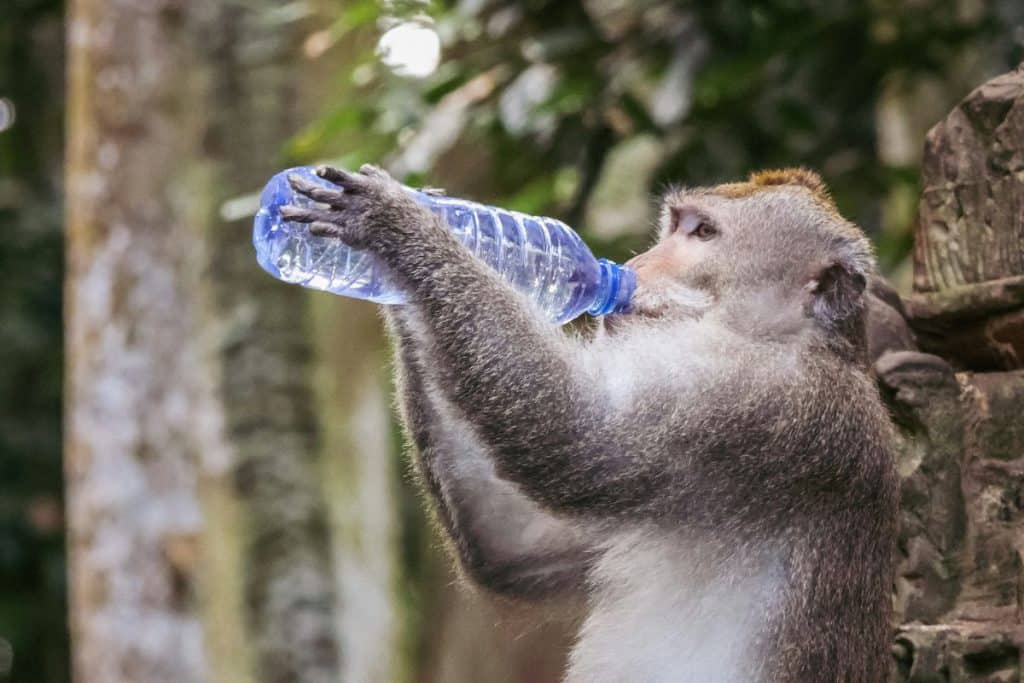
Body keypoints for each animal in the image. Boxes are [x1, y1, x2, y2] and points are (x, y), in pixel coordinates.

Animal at [282, 165, 898, 682]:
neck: (782, 338)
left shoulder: (754, 402)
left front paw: (402, 225)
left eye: (703, 234)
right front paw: (425, 228)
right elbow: (514, 549)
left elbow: (580, 435)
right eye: (673, 227)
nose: (637, 264)